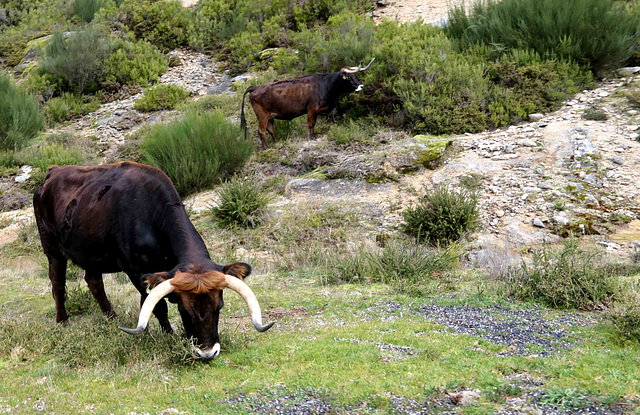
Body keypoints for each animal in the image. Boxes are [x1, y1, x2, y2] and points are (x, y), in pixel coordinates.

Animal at [33, 162, 272, 360]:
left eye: (219, 307)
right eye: (183, 310)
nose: (207, 353)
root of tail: (53, 171)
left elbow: (145, 304)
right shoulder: (136, 271)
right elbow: (158, 306)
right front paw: (169, 335)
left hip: (92, 253)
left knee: (94, 282)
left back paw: (112, 319)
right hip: (52, 249)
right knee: (58, 283)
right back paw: (63, 321)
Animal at [241, 57, 376, 149]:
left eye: (356, 76)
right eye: (349, 78)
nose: (361, 86)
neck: (326, 85)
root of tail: (255, 87)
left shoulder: (315, 111)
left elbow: (314, 124)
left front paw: (313, 137)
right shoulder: (311, 109)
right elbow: (310, 124)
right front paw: (310, 138)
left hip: (270, 116)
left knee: (270, 129)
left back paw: (276, 141)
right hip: (262, 115)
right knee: (261, 130)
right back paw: (265, 147)